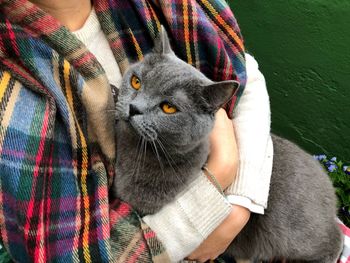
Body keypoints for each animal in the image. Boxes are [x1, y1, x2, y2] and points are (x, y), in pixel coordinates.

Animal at [113, 27, 344, 262]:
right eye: (136, 82)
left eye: (169, 108)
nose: (133, 108)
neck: (137, 154)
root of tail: (327, 181)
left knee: (336, 240)